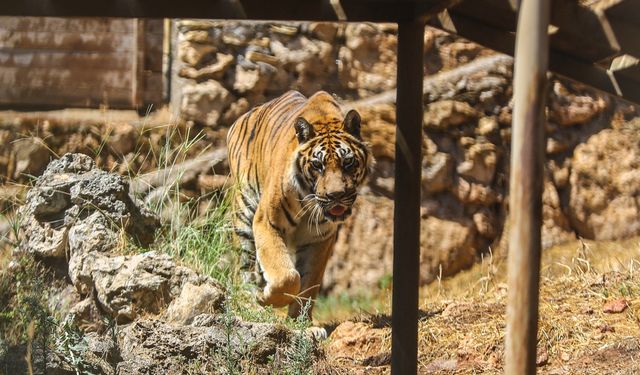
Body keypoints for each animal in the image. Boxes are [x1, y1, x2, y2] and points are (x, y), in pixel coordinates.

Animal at [228, 90, 372, 318]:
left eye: (348, 162)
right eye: (317, 165)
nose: (336, 195)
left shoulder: (320, 238)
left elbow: (308, 282)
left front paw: (300, 321)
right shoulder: (266, 222)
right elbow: (287, 277)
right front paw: (266, 298)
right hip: (244, 214)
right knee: (242, 266)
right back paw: (249, 302)